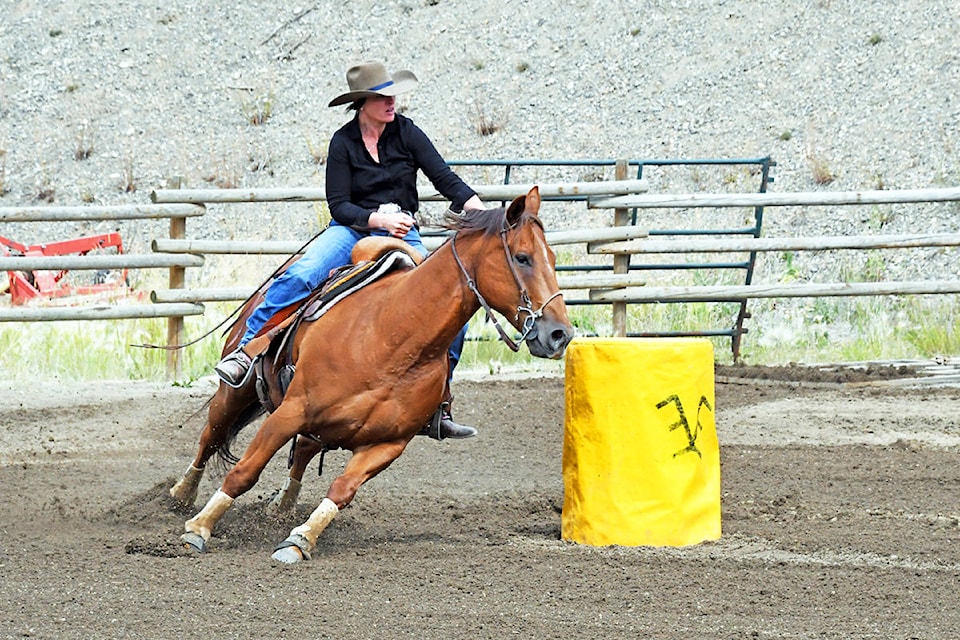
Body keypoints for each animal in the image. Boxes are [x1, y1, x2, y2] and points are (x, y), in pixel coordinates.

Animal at [171, 188, 568, 564]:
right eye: (522, 257)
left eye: (552, 259)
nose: (559, 334)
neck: (393, 335)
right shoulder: (291, 411)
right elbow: (244, 472)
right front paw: (198, 530)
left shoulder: (389, 443)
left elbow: (342, 489)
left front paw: (300, 540)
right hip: (237, 393)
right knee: (211, 434)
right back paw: (181, 495)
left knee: (303, 450)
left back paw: (282, 507)